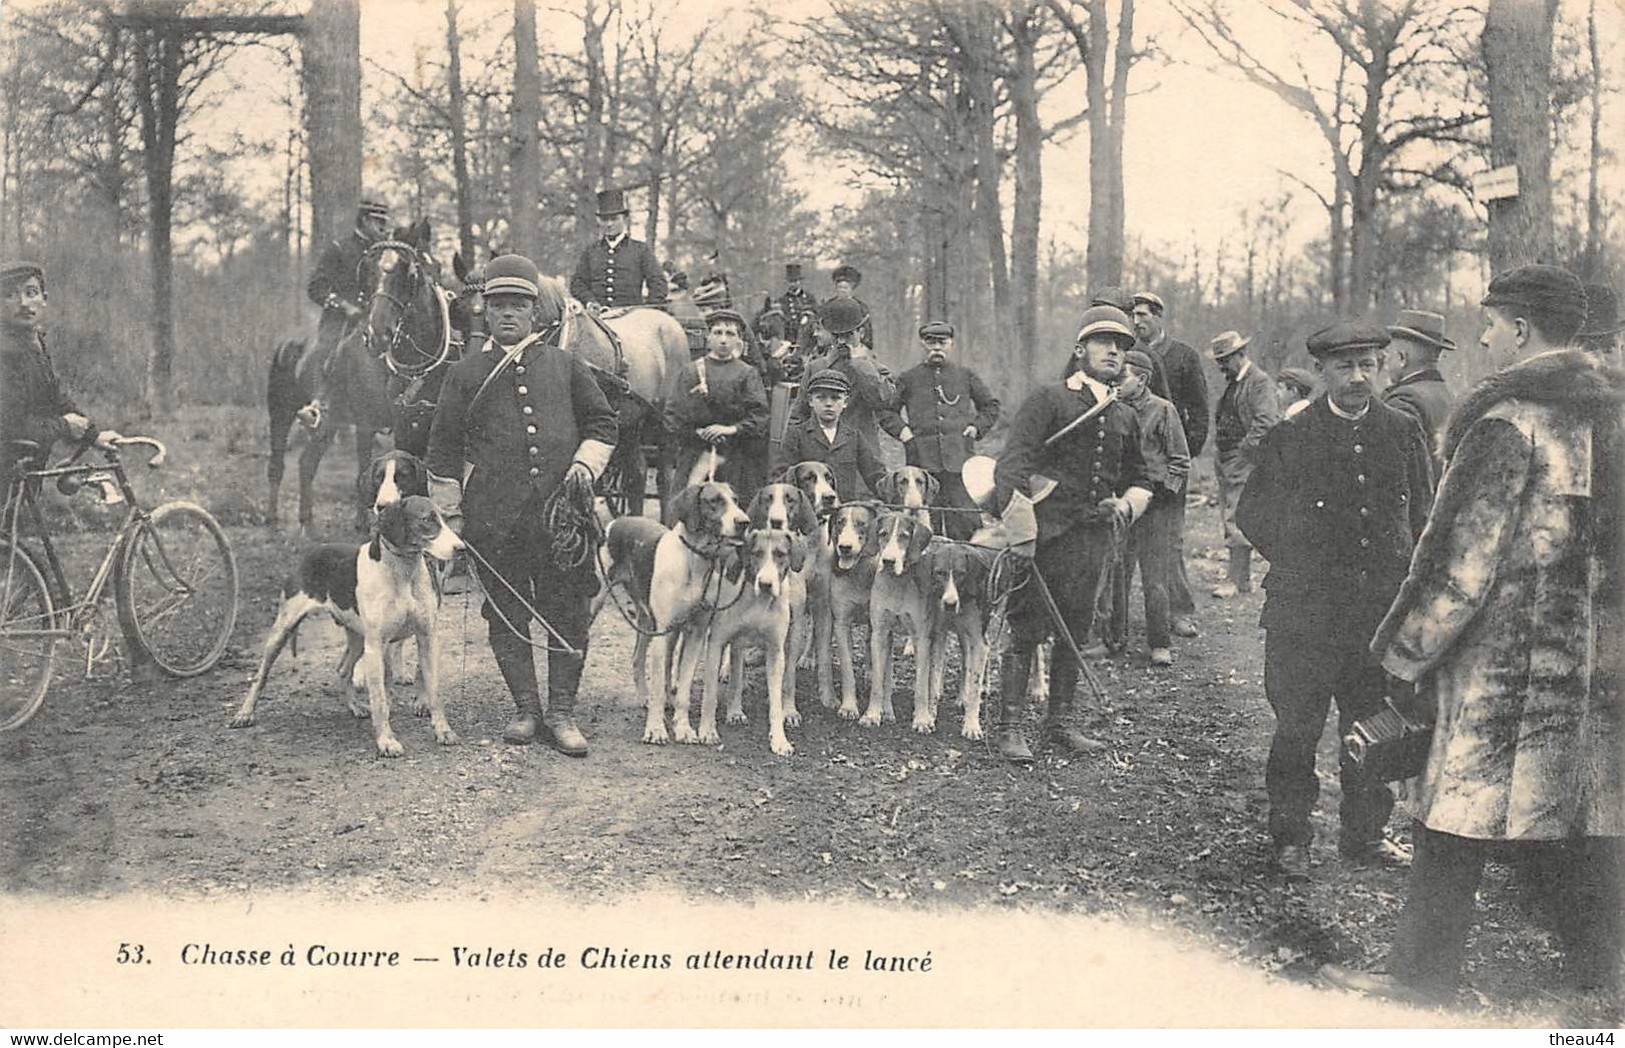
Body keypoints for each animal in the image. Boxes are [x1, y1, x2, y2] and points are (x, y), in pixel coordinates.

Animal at [266, 219, 458, 532]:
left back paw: (307, 522)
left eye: (433, 266)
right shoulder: (368, 423)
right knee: (277, 464)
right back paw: (273, 518)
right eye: (369, 271)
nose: (378, 334)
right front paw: (363, 523)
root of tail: (287, 344)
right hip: (281, 415)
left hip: (330, 424)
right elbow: (365, 469)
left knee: (307, 463)